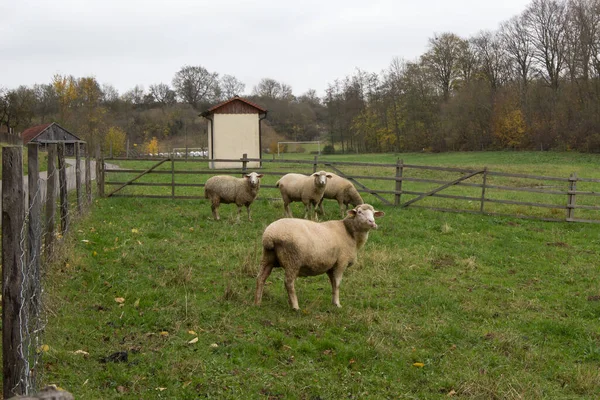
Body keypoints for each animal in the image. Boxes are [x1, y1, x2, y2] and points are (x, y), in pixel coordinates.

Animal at [253, 203, 384, 310]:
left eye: (373, 213)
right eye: (360, 212)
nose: (372, 223)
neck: (350, 233)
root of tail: (269, 235)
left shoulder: (331, 266)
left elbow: (333, 284)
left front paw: (333, 302)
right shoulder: (341, 262)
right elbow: (337, 284)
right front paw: (338, 304)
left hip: (268, 257)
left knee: (261, 278)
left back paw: (257, 302)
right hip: (292, 260)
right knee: (288, 283)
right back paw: (295, 306)